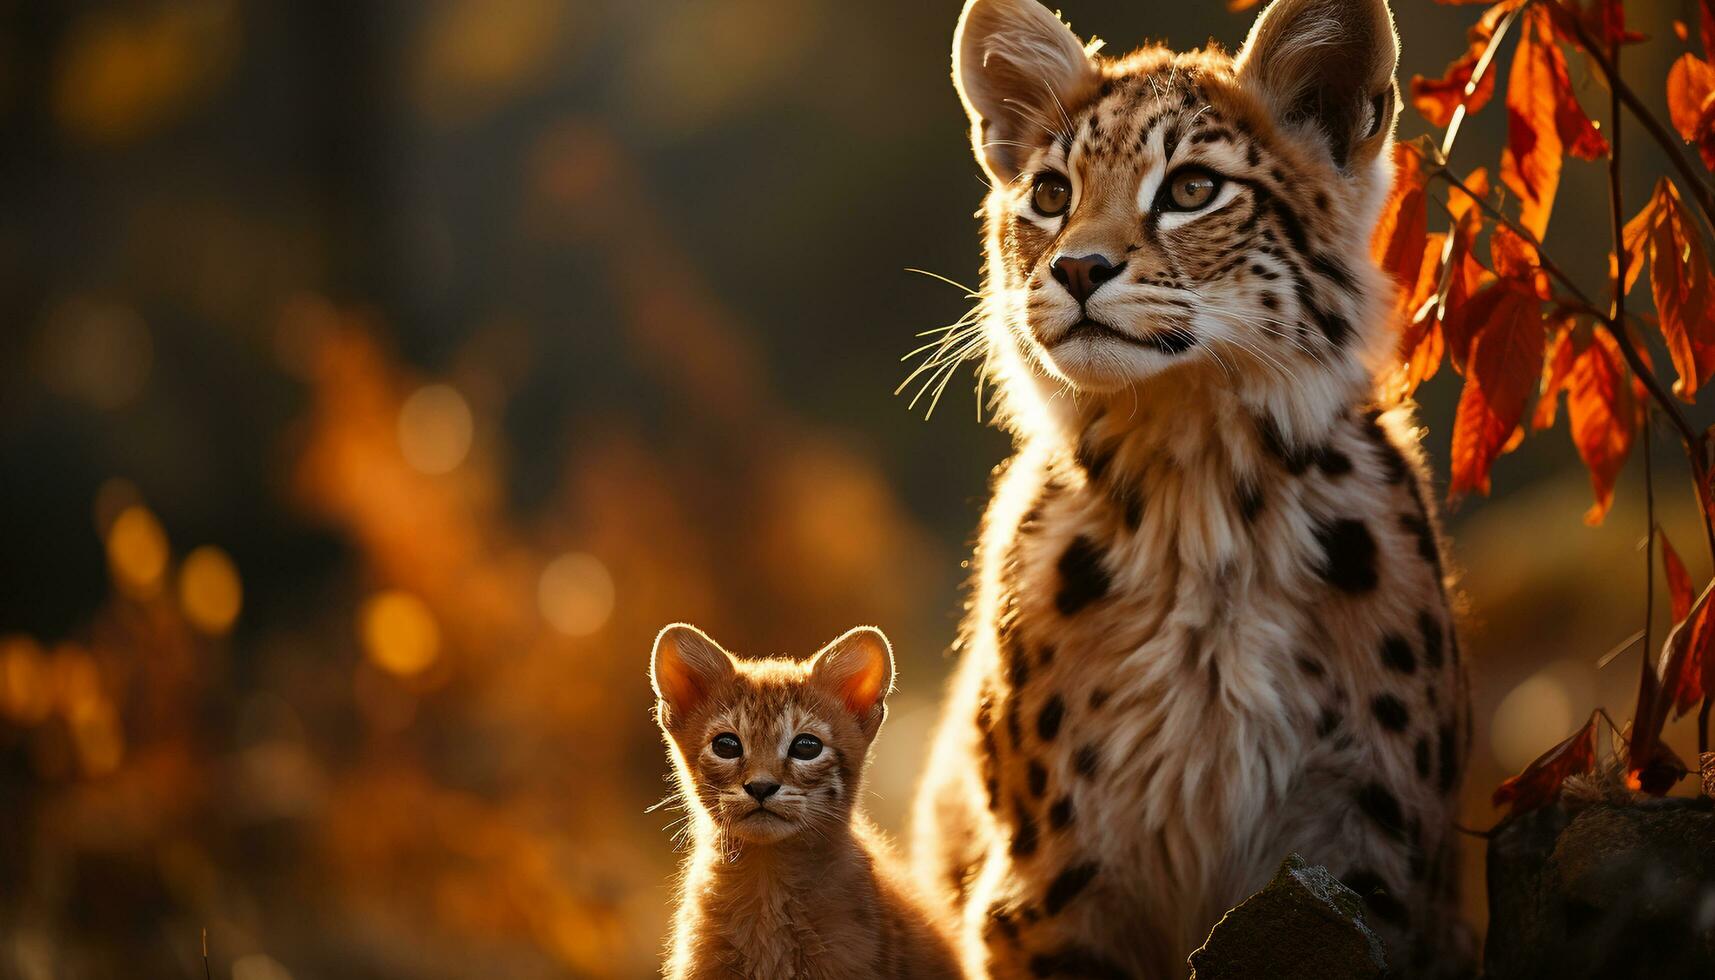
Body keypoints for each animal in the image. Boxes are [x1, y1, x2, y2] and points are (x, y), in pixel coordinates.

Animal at [912, 1, 1474, 980]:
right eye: (1050, 195)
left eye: (1191, 189)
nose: (1076, 269)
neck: (1196, 479)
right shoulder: (1047, 891)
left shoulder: (1370, 862)